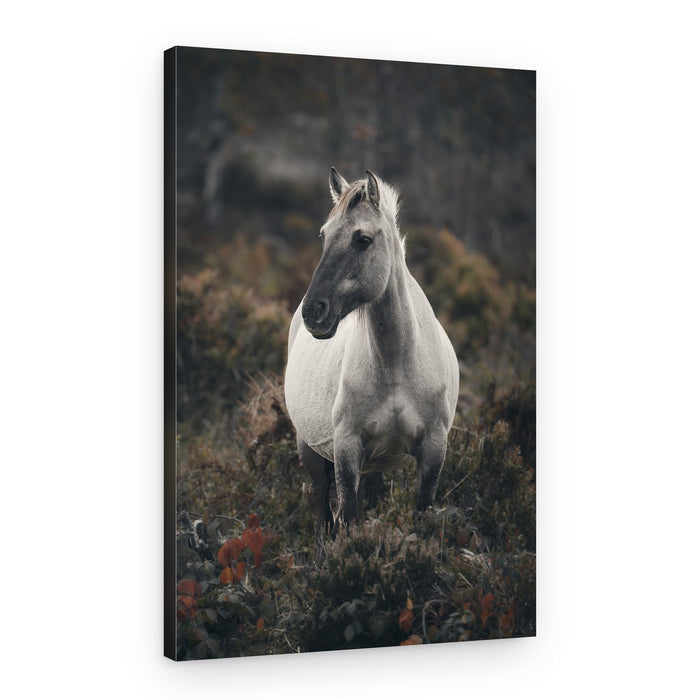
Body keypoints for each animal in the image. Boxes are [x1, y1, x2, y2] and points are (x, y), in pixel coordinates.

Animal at [284, 168, 460, 530]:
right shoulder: (347, 449)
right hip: (308, 448)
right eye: (324, 236)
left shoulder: (434, 450)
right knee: (322, 508)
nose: (313, 312)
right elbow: (347, 517)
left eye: (362, 240)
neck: (398, 365)